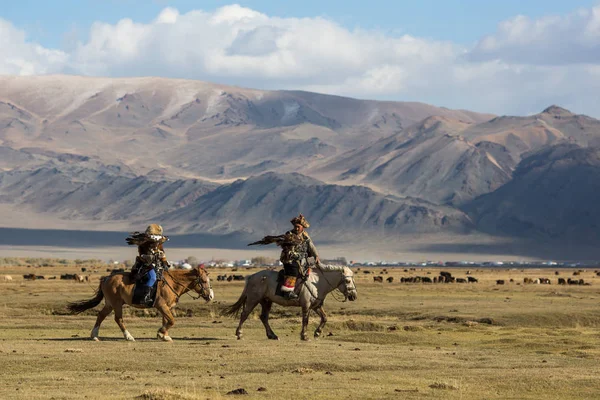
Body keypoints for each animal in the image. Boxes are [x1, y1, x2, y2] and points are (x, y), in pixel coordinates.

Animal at [66, 264, 213, 342]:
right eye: (204, 281)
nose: (211, 296)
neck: (172, 283)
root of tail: (106, 278)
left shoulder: (166, 307)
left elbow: (167, 320)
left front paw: (164, 336)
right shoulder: (161, 306)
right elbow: (171, 320)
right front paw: (161, 333)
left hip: (109, 304)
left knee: (101, 316)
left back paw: (95, 336)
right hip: (116, 304)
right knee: (118, 319)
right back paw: (129, 336)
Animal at [224, 266, 356, 340]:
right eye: (348, 281)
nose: (354, 296)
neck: (318, 283)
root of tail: (252, 277)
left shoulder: (316, 306)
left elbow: (324, 318)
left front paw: (317, 333)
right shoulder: (306, 305)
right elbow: (305, 320)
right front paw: (304, 336)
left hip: (266, 301)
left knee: (264, 317)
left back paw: (272, 335)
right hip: (253, 299)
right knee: (244, 314)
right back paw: (239, 334)